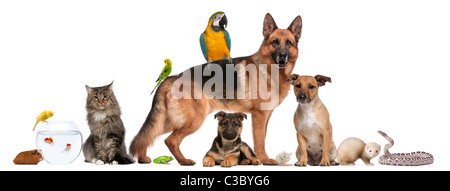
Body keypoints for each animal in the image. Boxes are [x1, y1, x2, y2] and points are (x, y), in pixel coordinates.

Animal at [129, 13, 302, 166]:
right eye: (275, 42)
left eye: (289, 42)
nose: (282, 56)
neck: (269, 69)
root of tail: (173, 77)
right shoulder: (259, 116)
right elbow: (259, 141)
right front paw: (264, 160)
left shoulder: (265, 116)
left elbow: (263, 138)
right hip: (193, 120)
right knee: (170, 140)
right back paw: (184, 161)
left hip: (169, 121)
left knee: (149, 134)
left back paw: (143, 157)